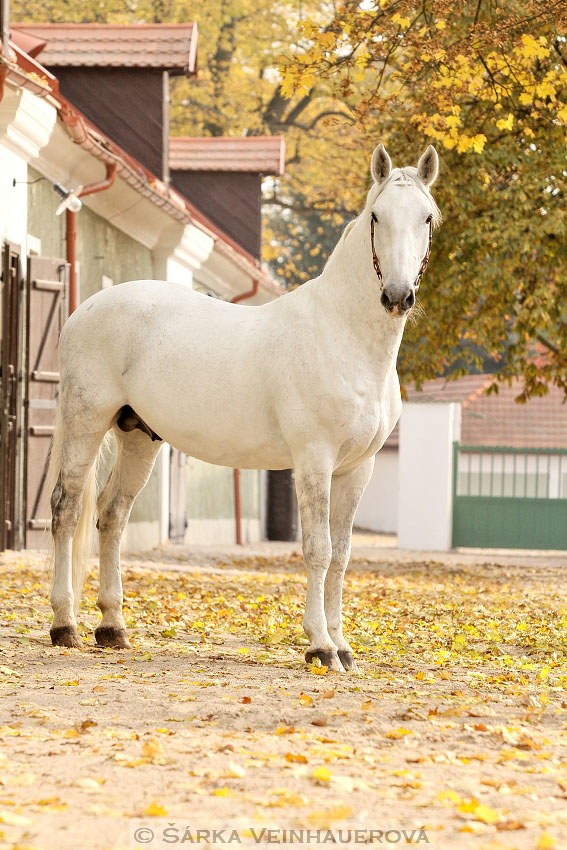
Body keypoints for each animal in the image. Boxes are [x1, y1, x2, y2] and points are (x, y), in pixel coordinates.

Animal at [46, 144, 442, 668]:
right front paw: (320, 646)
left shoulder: (358, 469)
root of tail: (84, 309)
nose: (398, 296)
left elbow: (341, 555)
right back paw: (64, 625)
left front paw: (343, 647)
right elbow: (317, 549)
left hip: (138, 436)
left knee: (111, 515)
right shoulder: (314, 460)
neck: (342, 334)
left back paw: (113, 628)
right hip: (85, 423)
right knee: (67, 511)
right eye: (377, 215)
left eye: (426, 218)